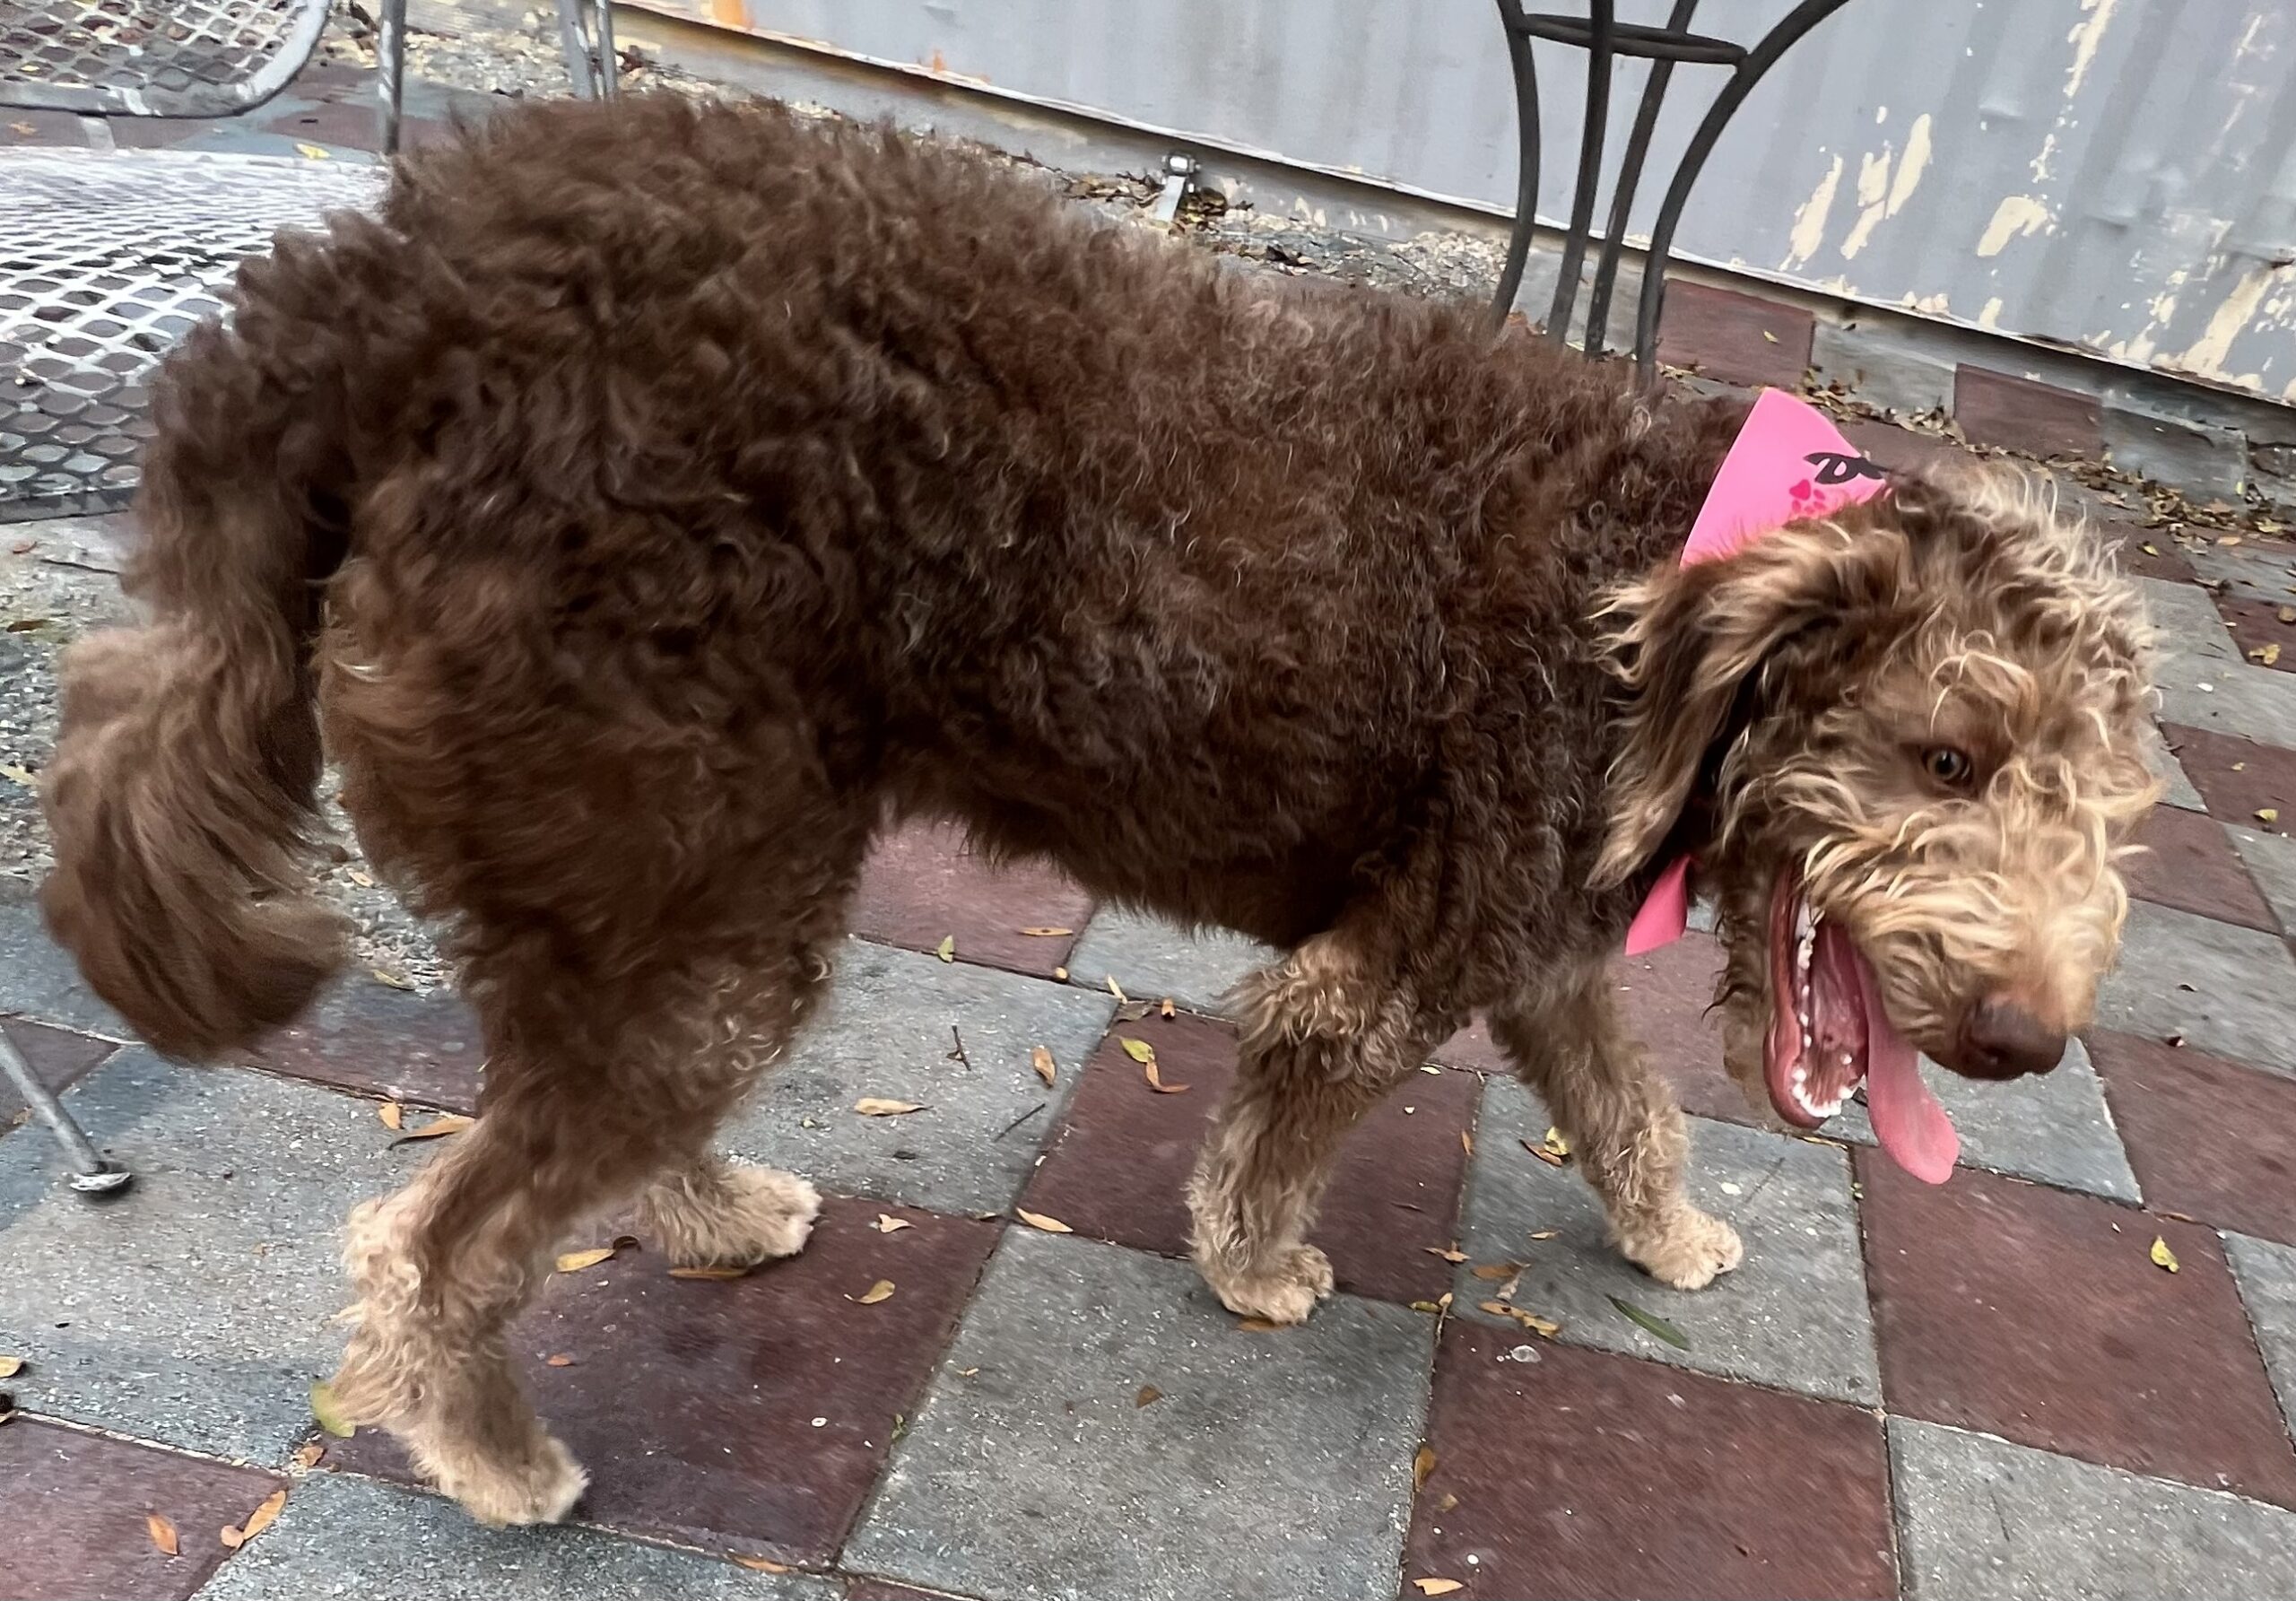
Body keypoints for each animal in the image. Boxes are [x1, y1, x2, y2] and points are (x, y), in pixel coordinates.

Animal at [38, 94, 2158, 1526]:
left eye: (2105, 806)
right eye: (1948, 758)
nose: (2027, 1042)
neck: (1655, 582)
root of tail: (379, 287)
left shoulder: (1537, 944)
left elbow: (1622, 1102)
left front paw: (1672, 1234)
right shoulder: (1391, 966)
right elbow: (1291, 1110)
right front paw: (1255, 1266)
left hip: (640, 893)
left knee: (562, 1121)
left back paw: (715, 1217)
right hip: (687, 876)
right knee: (442, 1238)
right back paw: (496, 1457)